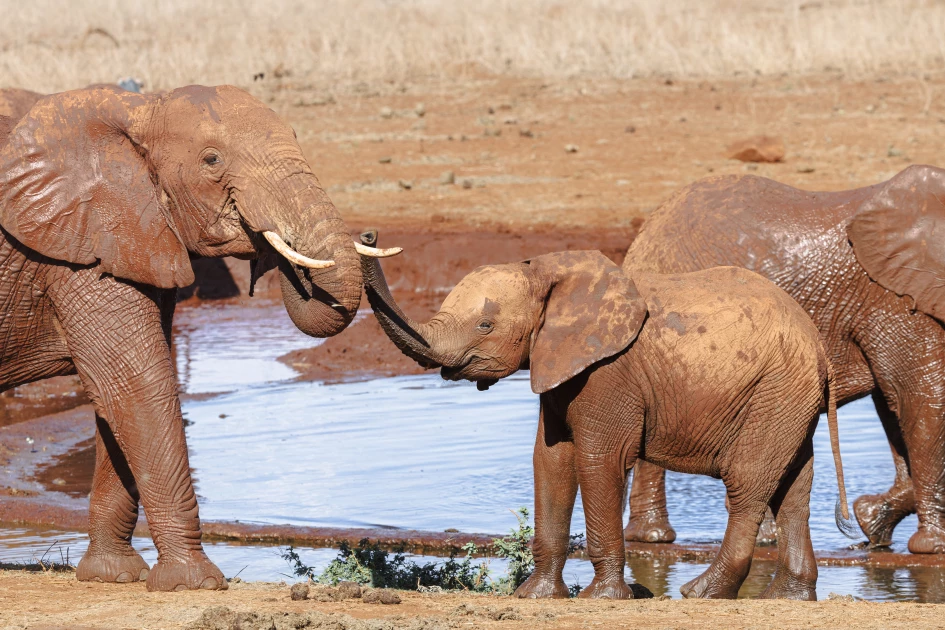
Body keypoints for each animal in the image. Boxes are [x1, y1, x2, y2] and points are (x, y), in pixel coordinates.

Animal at [0, 85, 396, 592]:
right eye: (211, 160)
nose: (369, 233)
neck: (142, 108)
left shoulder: (128, 237)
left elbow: (117, 396)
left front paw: (114, 576)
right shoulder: (75, 249)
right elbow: (137, 384)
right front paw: (194, 583)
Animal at [360, 241, 856, 604]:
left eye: (485, 325)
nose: (369, 234)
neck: (545, 271)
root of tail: (819, 345)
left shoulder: (609, 371)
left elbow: (599, 460)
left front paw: (603, 597)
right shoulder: (561, 364)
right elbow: (551, 461)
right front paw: (535, 596)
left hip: (775, 389)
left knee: (748, 484)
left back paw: (701, 593)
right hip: (787, 397)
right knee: (793, 489)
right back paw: (789, 598)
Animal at [624, 165, 944, 556]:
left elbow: (895, 404)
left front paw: (872, 520)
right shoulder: (890, 293)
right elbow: (921, 398)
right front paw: (933, 547)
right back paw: (663, 538)